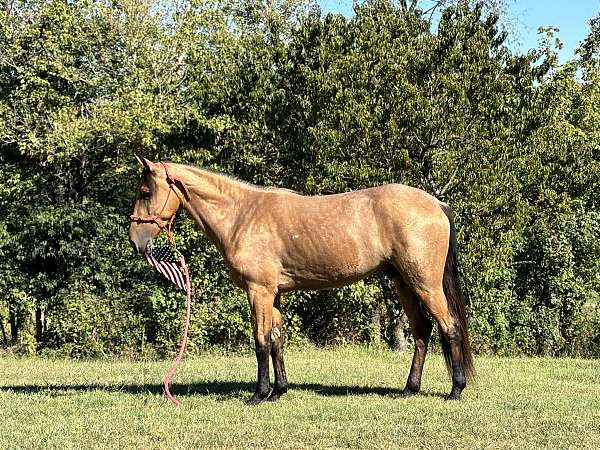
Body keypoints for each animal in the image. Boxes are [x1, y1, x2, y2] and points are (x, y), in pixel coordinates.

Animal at [130, 156, 474, 404]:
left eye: (146, 192)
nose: (135, 240)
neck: (242, 215)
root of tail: (436, 204)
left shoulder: (259, 291)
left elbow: (261, 342)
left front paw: (259, 394)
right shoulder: (275, 293)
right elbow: (277, 340)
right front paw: (278, 391)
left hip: (425, 283)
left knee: (450, 328)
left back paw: (455, 390)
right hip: (404, 283)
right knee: (422, 332)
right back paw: (409, 389)